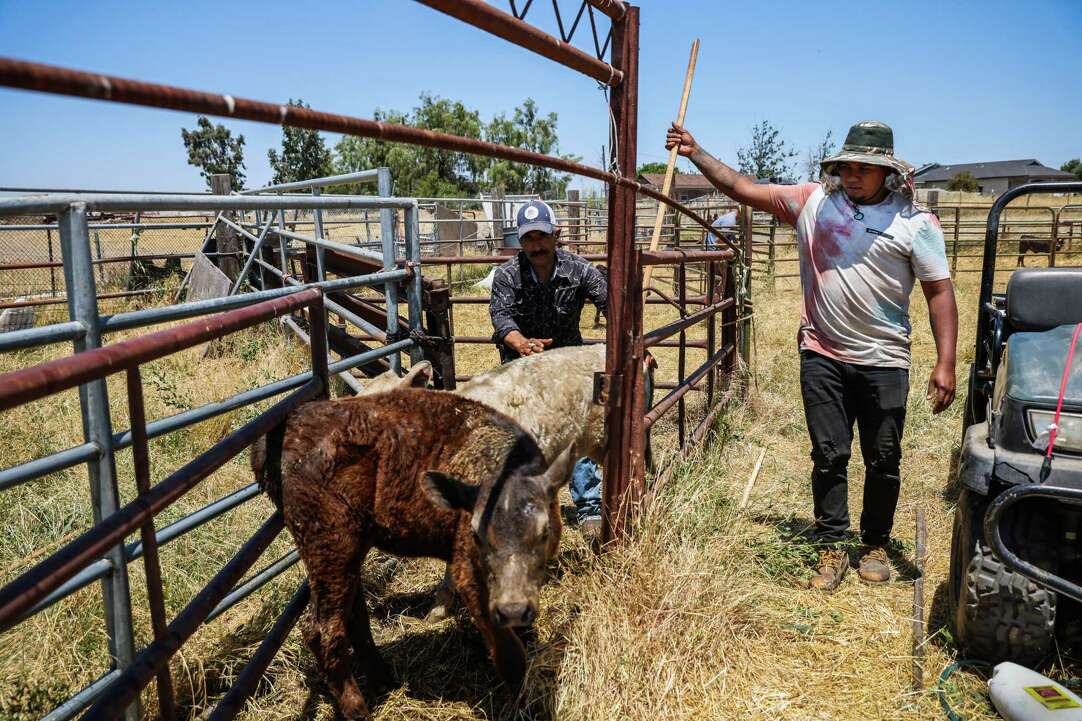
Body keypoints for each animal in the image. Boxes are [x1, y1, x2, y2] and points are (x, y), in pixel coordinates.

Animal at [254, 389, 575, 714]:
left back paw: (385, 681)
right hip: (331, 547)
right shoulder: (470, 576)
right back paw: (360, 710)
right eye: (476, 535)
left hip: (347, 554)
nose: (513, 609)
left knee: (354, 615)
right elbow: (511, 654)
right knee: (323, 630)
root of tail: (289, 425)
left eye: (544, 531)